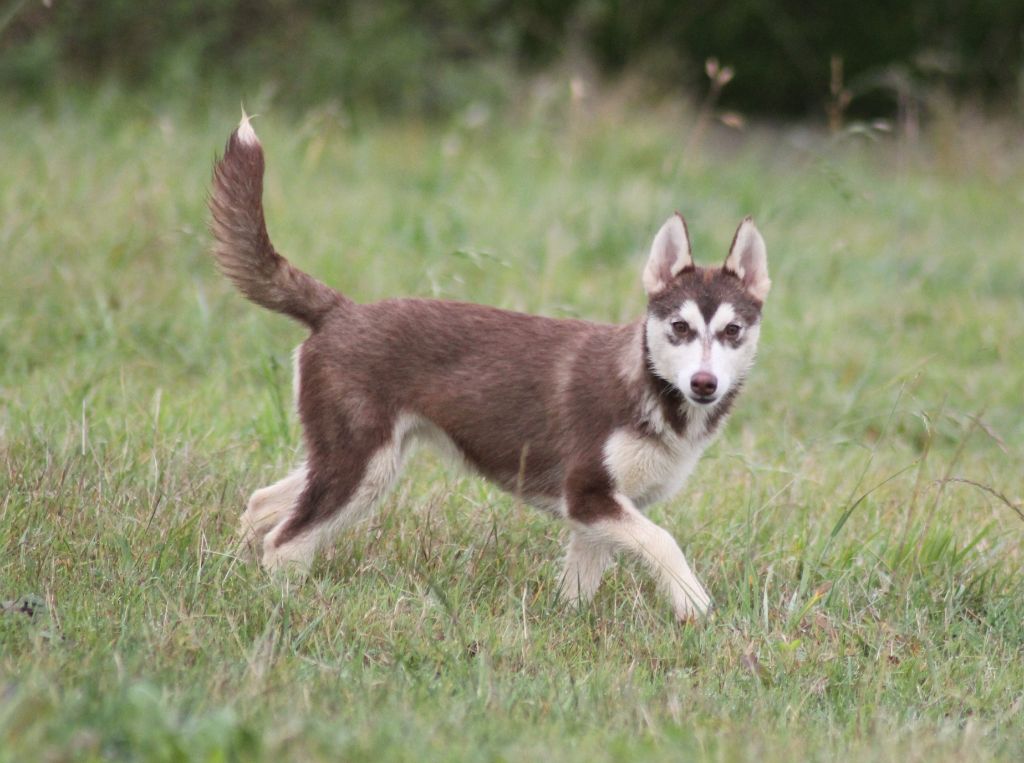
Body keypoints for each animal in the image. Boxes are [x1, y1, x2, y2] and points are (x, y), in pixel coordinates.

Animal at [207, 116, 770, 622]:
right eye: (679, 327)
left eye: (732, 331)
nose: (704, 383)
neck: (650, 389)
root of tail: (343, 309)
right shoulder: (588, 495)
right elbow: (665, 542)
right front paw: (694, 605)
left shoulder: (601, 514)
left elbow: (581, 588)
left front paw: (568, 627)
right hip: (360, 468)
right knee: (285, 543)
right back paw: (285, 604)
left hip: (354, 463)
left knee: (262, 504)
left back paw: (229, 569)